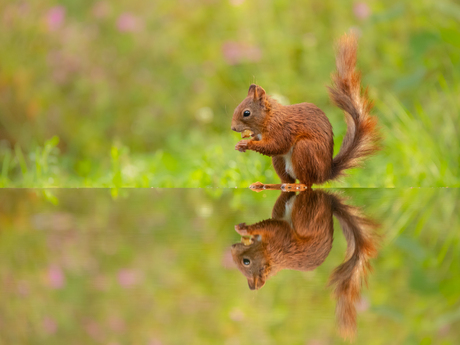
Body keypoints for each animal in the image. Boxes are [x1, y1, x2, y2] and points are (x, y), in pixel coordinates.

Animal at [230, 34, 380, 189]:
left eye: (246, 113)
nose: (233, 128)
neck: (269, 118)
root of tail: (325, 174)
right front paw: (239, 145)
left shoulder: (282, 129)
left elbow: (275, 145)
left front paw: (247, 144)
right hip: (279, 162)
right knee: (286, 181)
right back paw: (263, 185)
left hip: (304, 151)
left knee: (306, 183)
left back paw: (296, 186)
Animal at [232, 191, 380, 338]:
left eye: (246, 261)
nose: (232, 248)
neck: (271, 257)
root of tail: (330, 204)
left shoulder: (278, 236)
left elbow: (267, 225)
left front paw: (245, 231)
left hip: (305, 216)